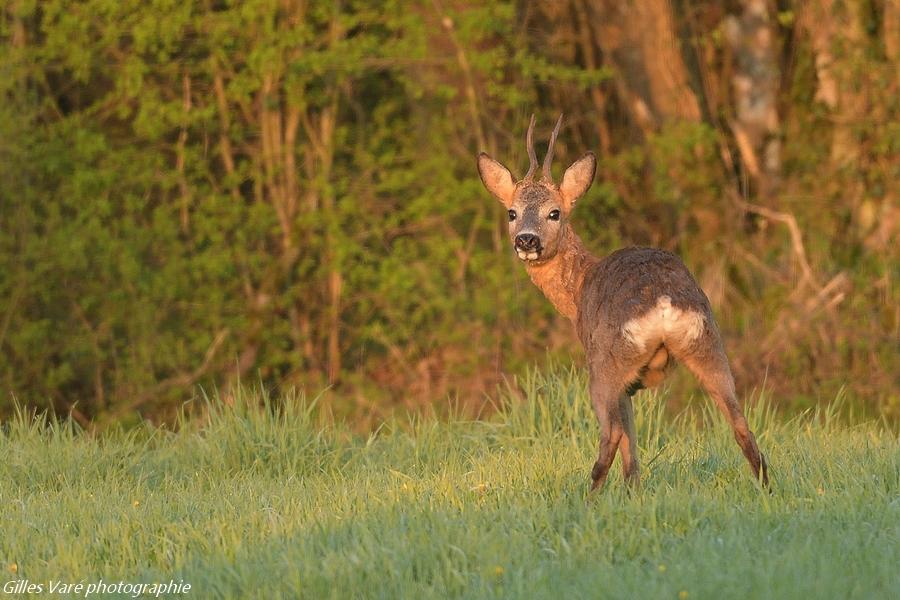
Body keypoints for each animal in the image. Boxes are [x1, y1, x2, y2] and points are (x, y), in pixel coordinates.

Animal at [478, 115, 768, 490]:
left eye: (554, 213)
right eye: (512, 213)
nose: (526, 240)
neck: (579, 288)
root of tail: (663, 303)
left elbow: (625, 434)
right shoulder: (631, 385)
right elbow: (634, 442)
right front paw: (634, 491)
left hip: (607, 362)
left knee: (611, 432)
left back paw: (588, 494)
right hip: (708, 344)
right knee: (741, 422)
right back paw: (766, 488)